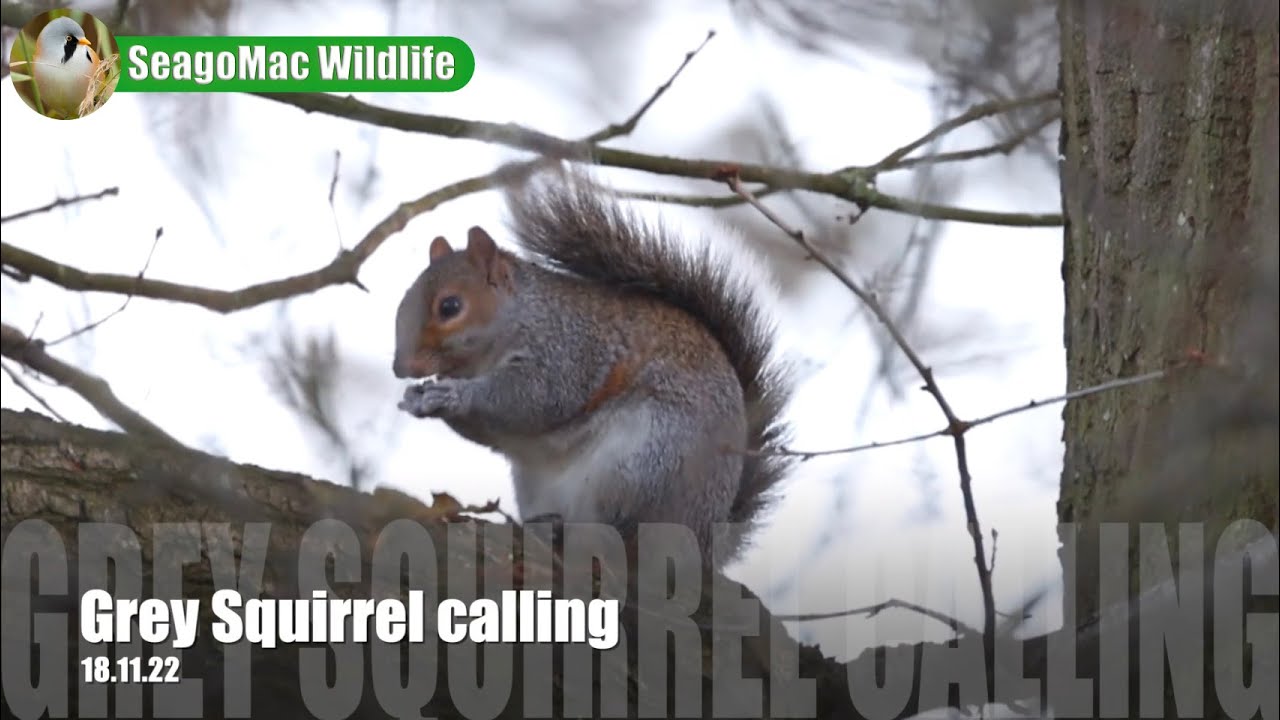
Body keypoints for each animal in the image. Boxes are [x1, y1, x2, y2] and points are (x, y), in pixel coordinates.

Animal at [392, 168, 793, 569]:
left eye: (450, 306)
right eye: (402, 303)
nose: (400, 368)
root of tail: (706, 542)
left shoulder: (568, 351)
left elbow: (532, 399)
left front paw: (454, 395)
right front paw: (419, 398)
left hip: (644, 465)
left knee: (624, 533)